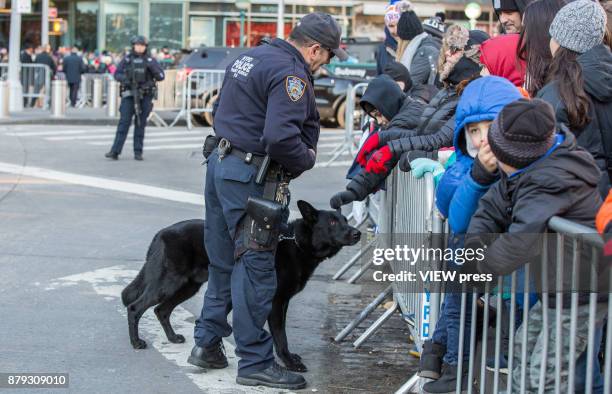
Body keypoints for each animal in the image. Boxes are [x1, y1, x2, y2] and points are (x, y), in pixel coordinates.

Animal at [120, 202, 358, 370]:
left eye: (346, 220)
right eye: (333, 223)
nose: (357, 233)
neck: (296, 243)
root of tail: (160, 233)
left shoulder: (282, 303)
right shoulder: (276, 303)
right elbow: (280, 336)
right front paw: (289, 362)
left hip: (187, 287)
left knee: (161, 310)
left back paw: (172, 338)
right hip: (168, 283)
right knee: (135, 307)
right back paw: (136, 342)